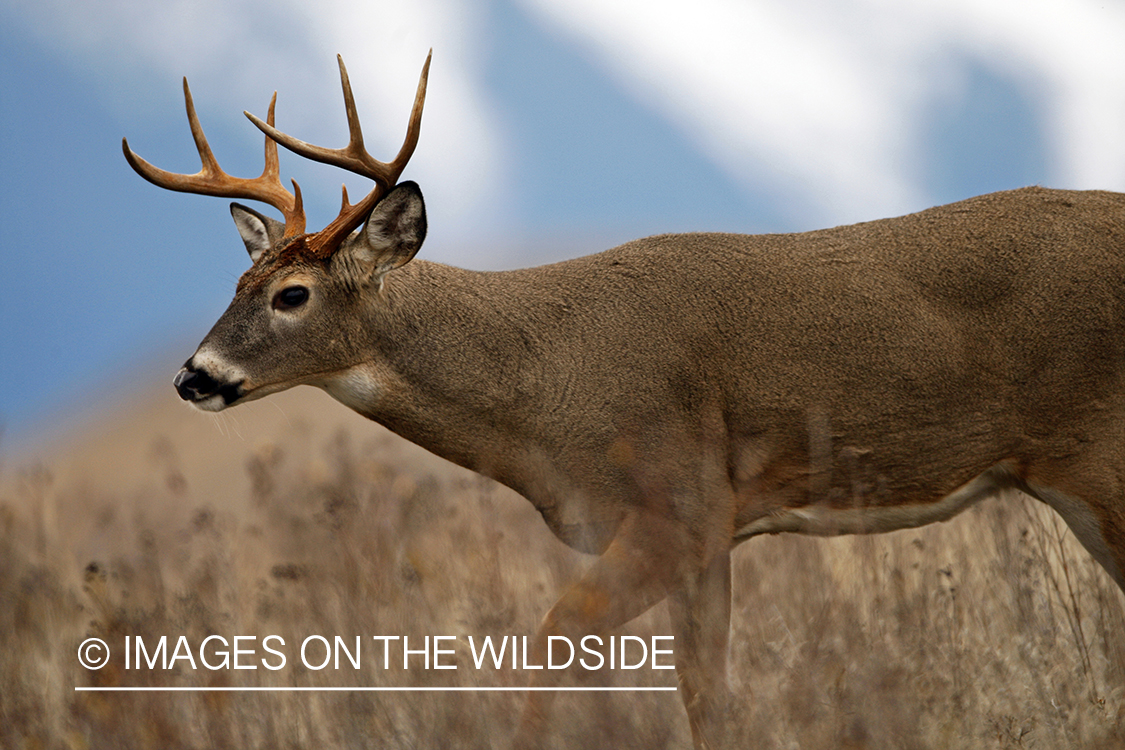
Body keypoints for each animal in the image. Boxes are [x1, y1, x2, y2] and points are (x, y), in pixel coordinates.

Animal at [120, 49, 1125, 746]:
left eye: (293, 295)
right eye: (239, 281)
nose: (194, 375)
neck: (541, 393)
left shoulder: (678, 504)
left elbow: (551, 642)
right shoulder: (711, 532)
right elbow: (706, 699)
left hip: (1097, 452)